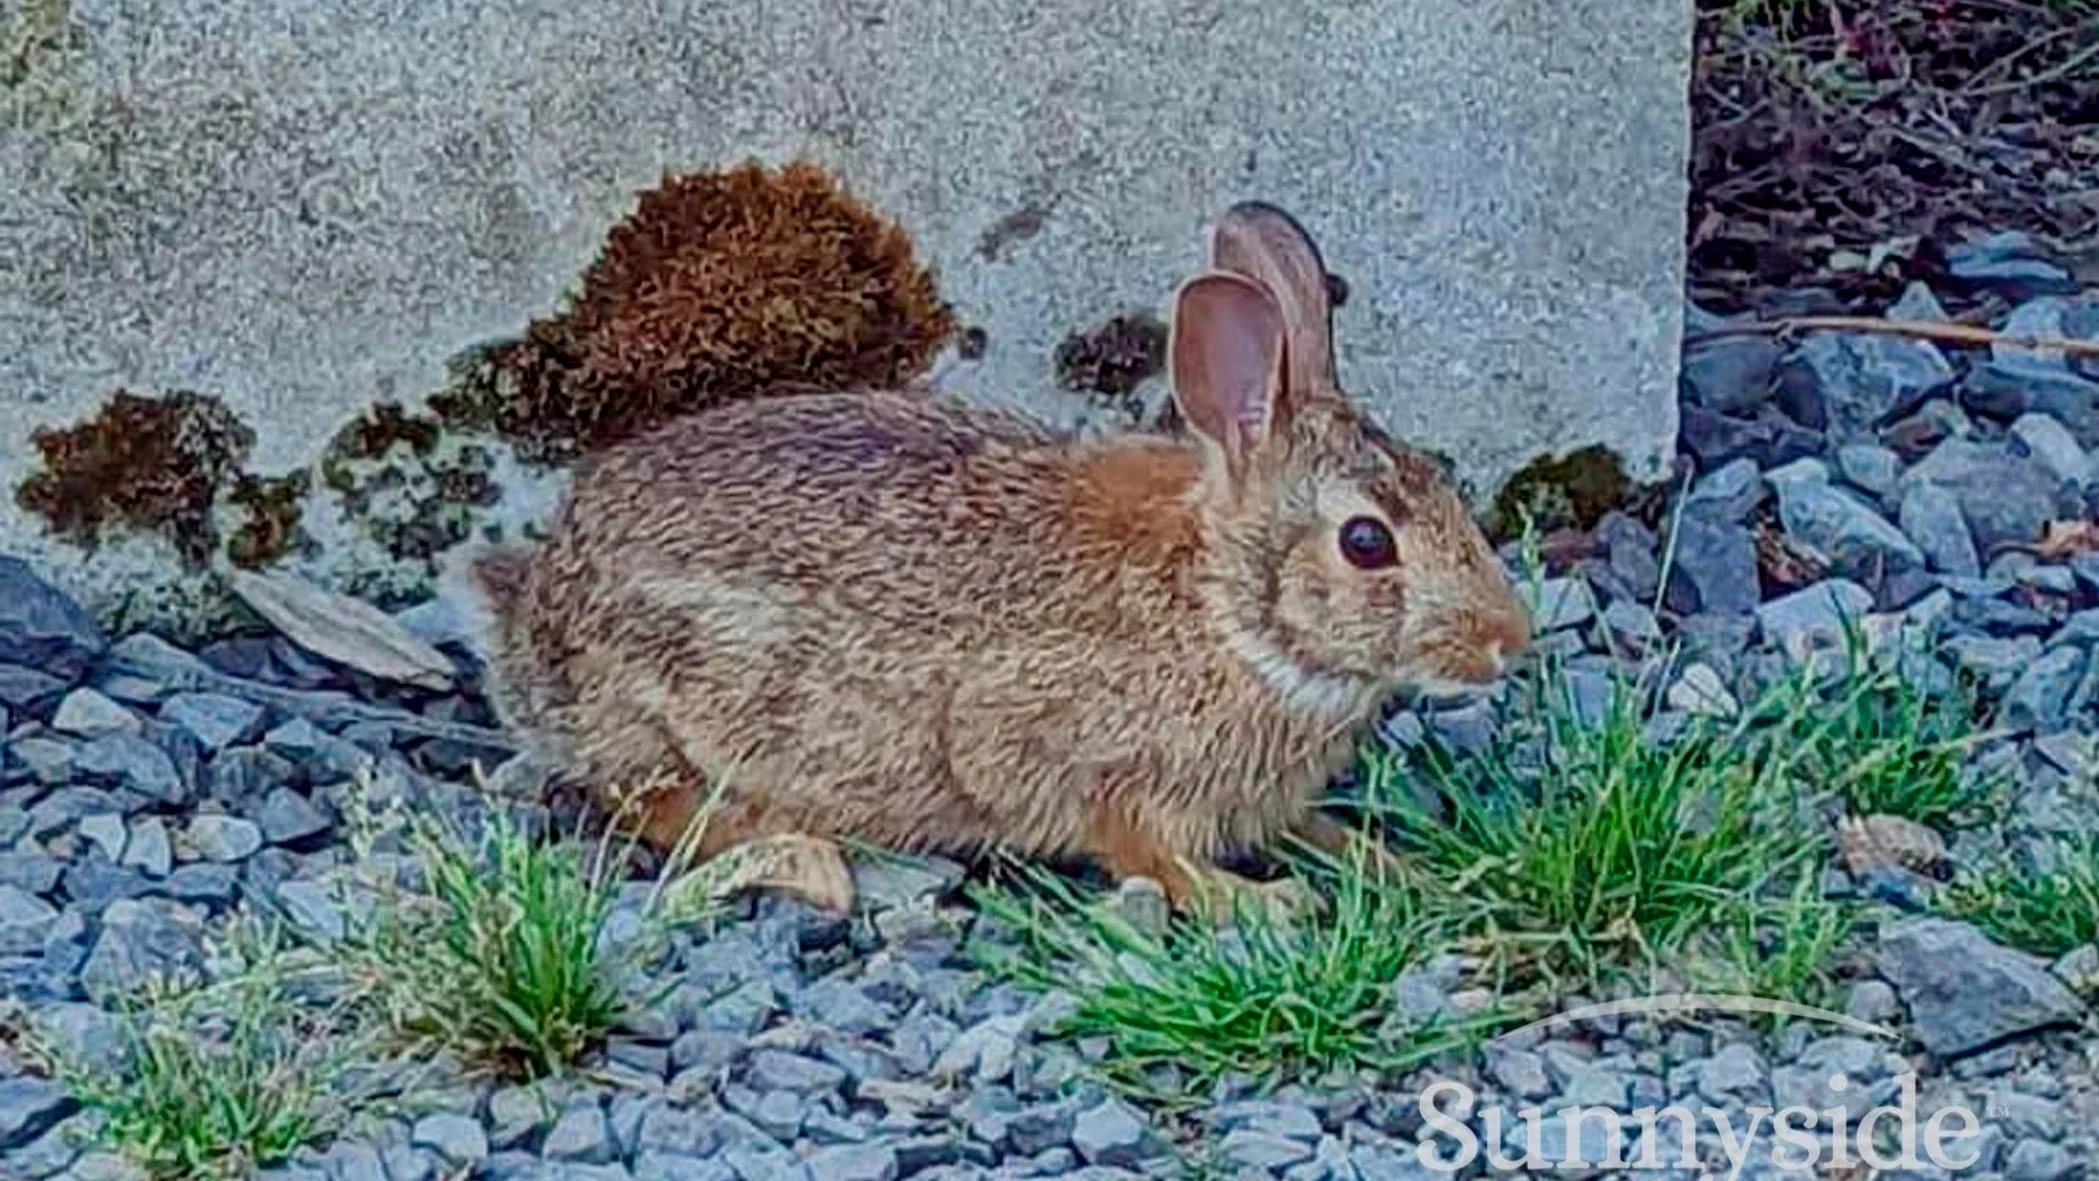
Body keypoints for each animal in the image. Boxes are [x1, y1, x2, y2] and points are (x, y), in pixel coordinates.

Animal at [461, 200, 1533, 916]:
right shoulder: (1066, 757)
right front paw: (1260, 904)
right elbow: (1140, 850)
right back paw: (803, 855)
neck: (1230, 610)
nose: (1507, 640)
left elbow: (1312, 829)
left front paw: (1402, 865)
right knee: (651, 800)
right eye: (1366, 541)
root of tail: (529, 610)